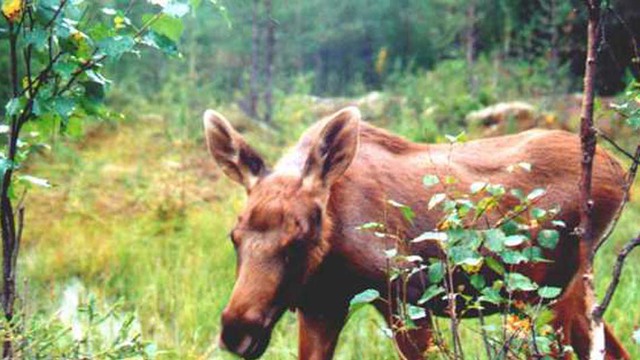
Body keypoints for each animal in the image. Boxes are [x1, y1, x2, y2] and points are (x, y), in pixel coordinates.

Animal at [205, 107, 632, 360]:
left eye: (300, 238)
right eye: (234, 236)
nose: (237, 331)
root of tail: (616, 169)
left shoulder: (405, 296)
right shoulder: (320, 304)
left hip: (546, 293)